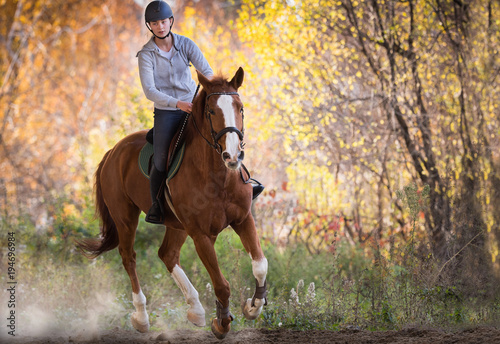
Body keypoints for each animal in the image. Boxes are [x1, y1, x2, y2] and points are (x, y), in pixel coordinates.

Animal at [76, 67, 268, 338]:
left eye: (240, 108)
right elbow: (221, 284)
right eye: (211, 111)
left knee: (167, 254)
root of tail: (113, 151)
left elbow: (260, 265)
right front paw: (221, 323)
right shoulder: (201, 234)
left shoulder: (242, 219)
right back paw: (142, 317)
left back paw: (195, 310)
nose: (233, 156)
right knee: (129, 257)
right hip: (125, 217)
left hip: (176, 224)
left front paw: (252, 307)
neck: (217, 176)